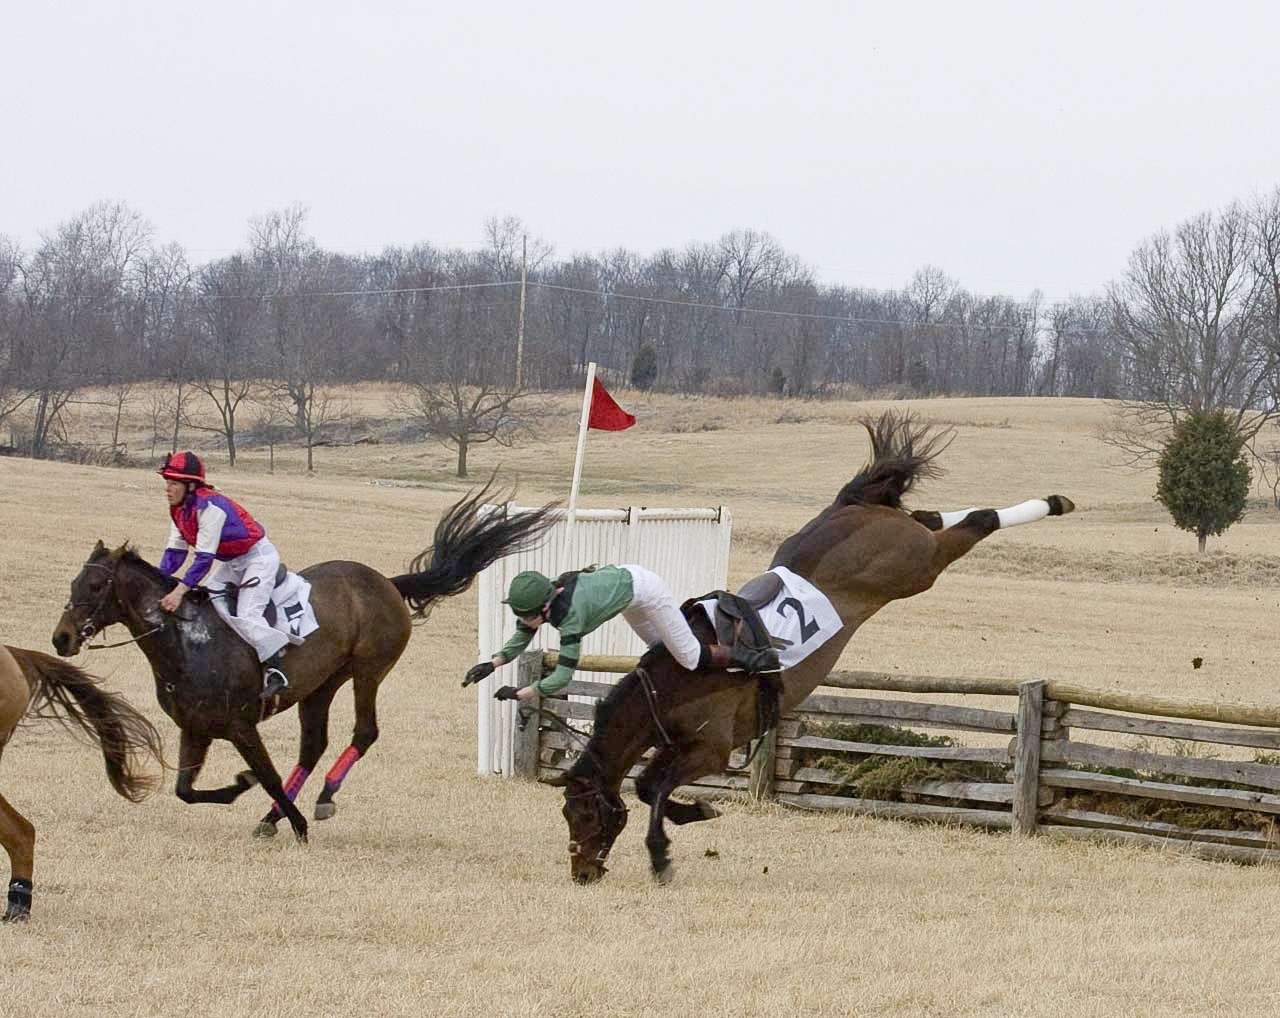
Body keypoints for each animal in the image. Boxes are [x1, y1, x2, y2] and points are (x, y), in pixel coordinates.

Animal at [55, 486, 558, 845]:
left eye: (95, 585)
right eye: (75, 580)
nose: (61, 638)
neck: (184, 644)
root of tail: (386, 581)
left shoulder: (240, 726)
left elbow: (267, 775)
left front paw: (290, 820)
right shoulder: (195, 729)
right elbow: (186, 790)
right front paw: (245, 794)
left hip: (368, 670)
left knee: (364, 733)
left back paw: (322, 799)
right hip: (321, 685)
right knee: (313, 746)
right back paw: (275, 815)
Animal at [555, 412, 1075, 886]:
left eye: (583, 814)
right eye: (568, 816)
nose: (582, 871)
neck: (671, 683)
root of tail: (852, 506)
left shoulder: (711, 749)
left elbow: (656, 787)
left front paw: (662, 850)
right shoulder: (678, 746)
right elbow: (648, 786)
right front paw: (693, 814)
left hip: (917, 566)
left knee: (976, 522)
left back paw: (1054, 502)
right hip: (909, 546)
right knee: (928, 517)